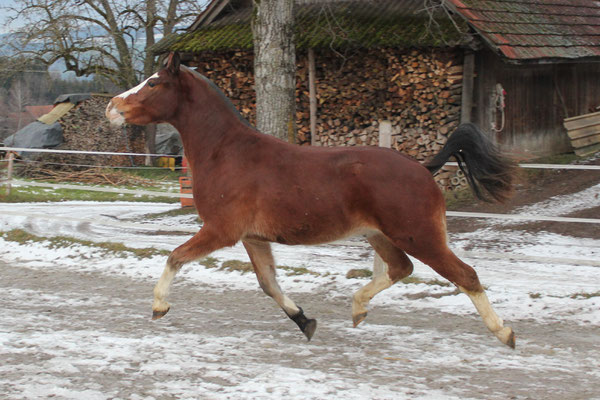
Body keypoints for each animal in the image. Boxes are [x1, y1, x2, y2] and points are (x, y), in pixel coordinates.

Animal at [106, 52, 516, 346]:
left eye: (153, 82)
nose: (111, 106)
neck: (227, 153)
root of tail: (423, 167)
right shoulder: (252, 237)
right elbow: (269, 284)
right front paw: (305, 322)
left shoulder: (221, 231)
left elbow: (175, 256)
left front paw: (159, 306)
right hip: (379, 235)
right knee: (401, 268)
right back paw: (358, 310)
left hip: (419, 235)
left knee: (465, 275)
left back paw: (505, 333)